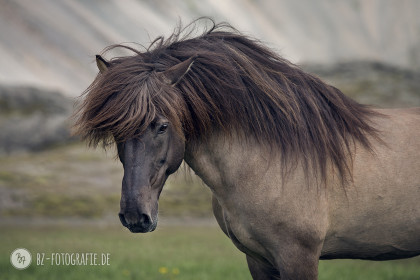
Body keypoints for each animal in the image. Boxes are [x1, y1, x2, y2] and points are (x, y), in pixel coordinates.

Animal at [73, 20, 420, 278]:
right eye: (115, 131)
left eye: (162, 125)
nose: (135, 216)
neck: (269, 163)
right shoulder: (259, 260)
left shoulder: (298, 258)